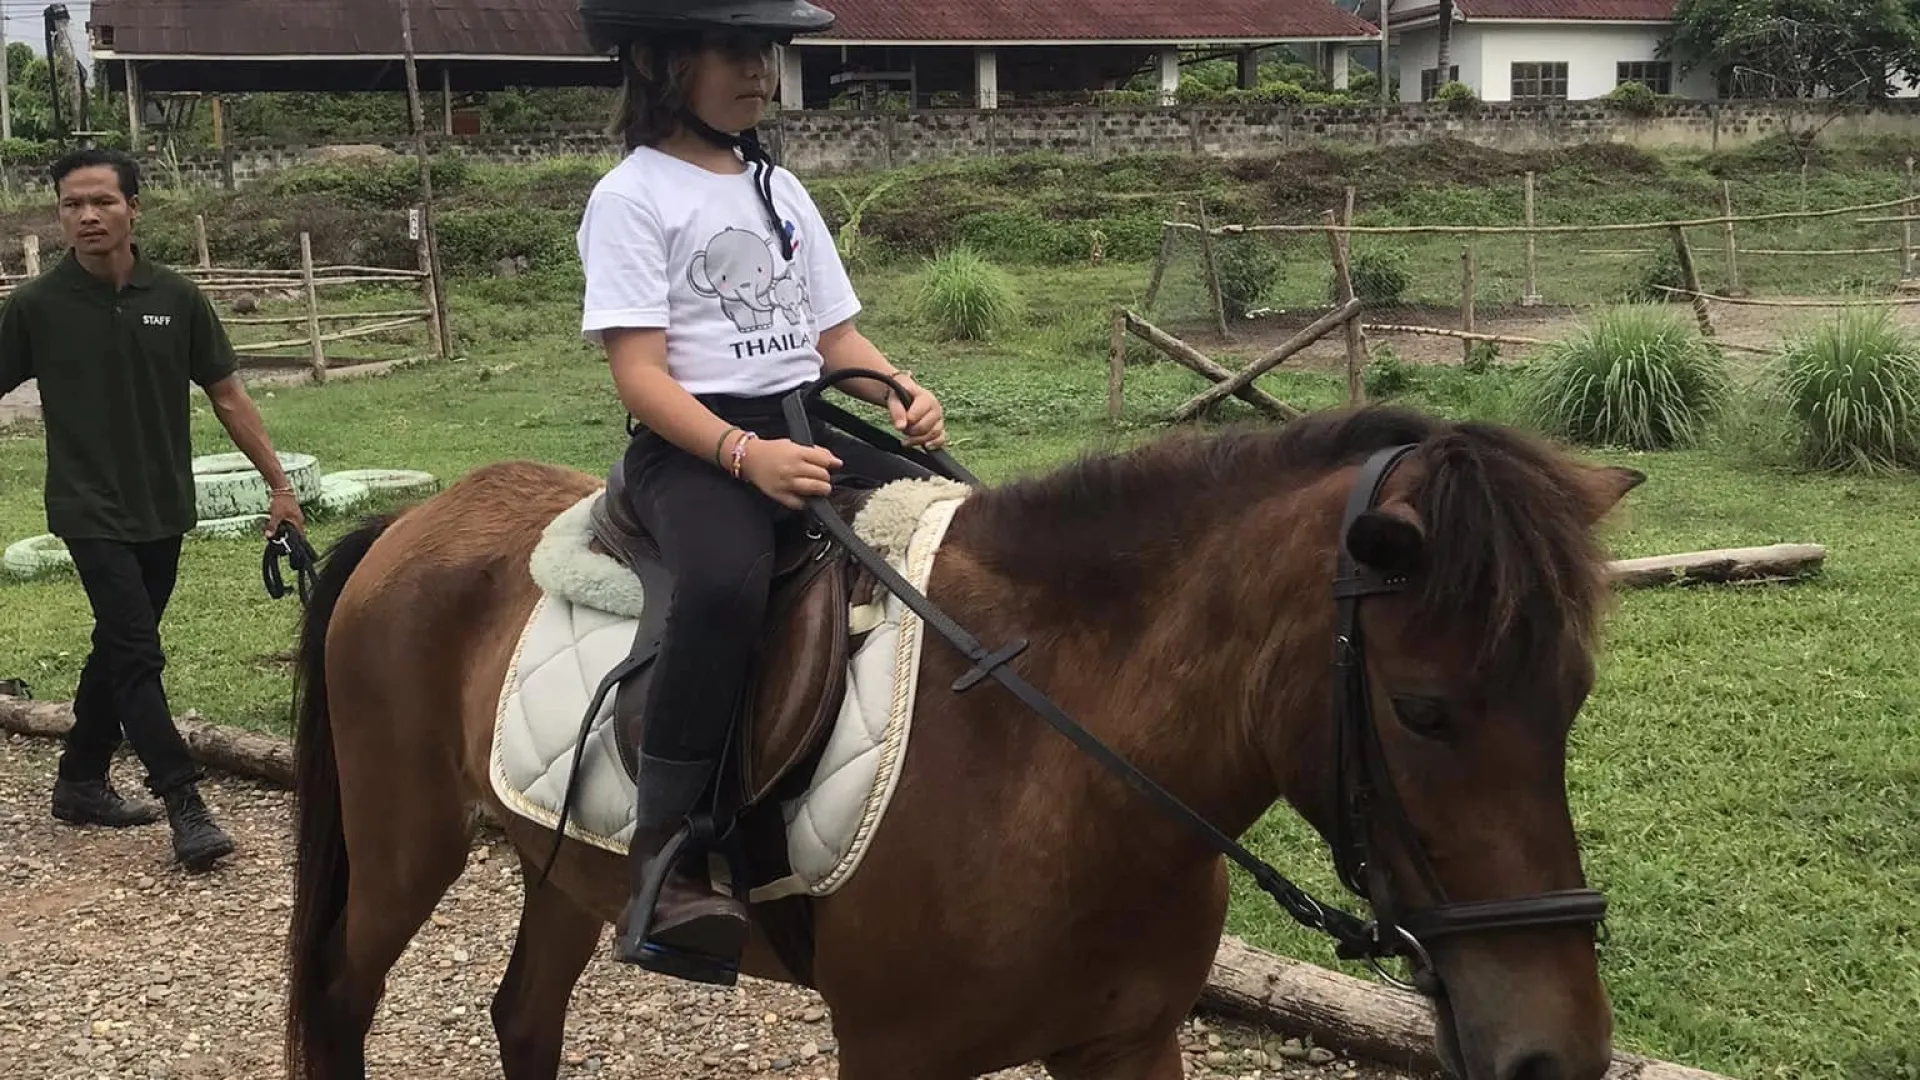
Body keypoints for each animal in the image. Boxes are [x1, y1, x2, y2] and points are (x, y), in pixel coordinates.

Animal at [280, 396, 1643, 1080]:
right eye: (1424, 711)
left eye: (1573, 700)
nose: (1556, 1054)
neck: (1059, 763)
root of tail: (412, 525)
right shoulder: (895, 1060)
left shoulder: (1127, 1045)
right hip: (405, 846)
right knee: (344, 998)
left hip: (566, 863)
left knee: (525, 1017)